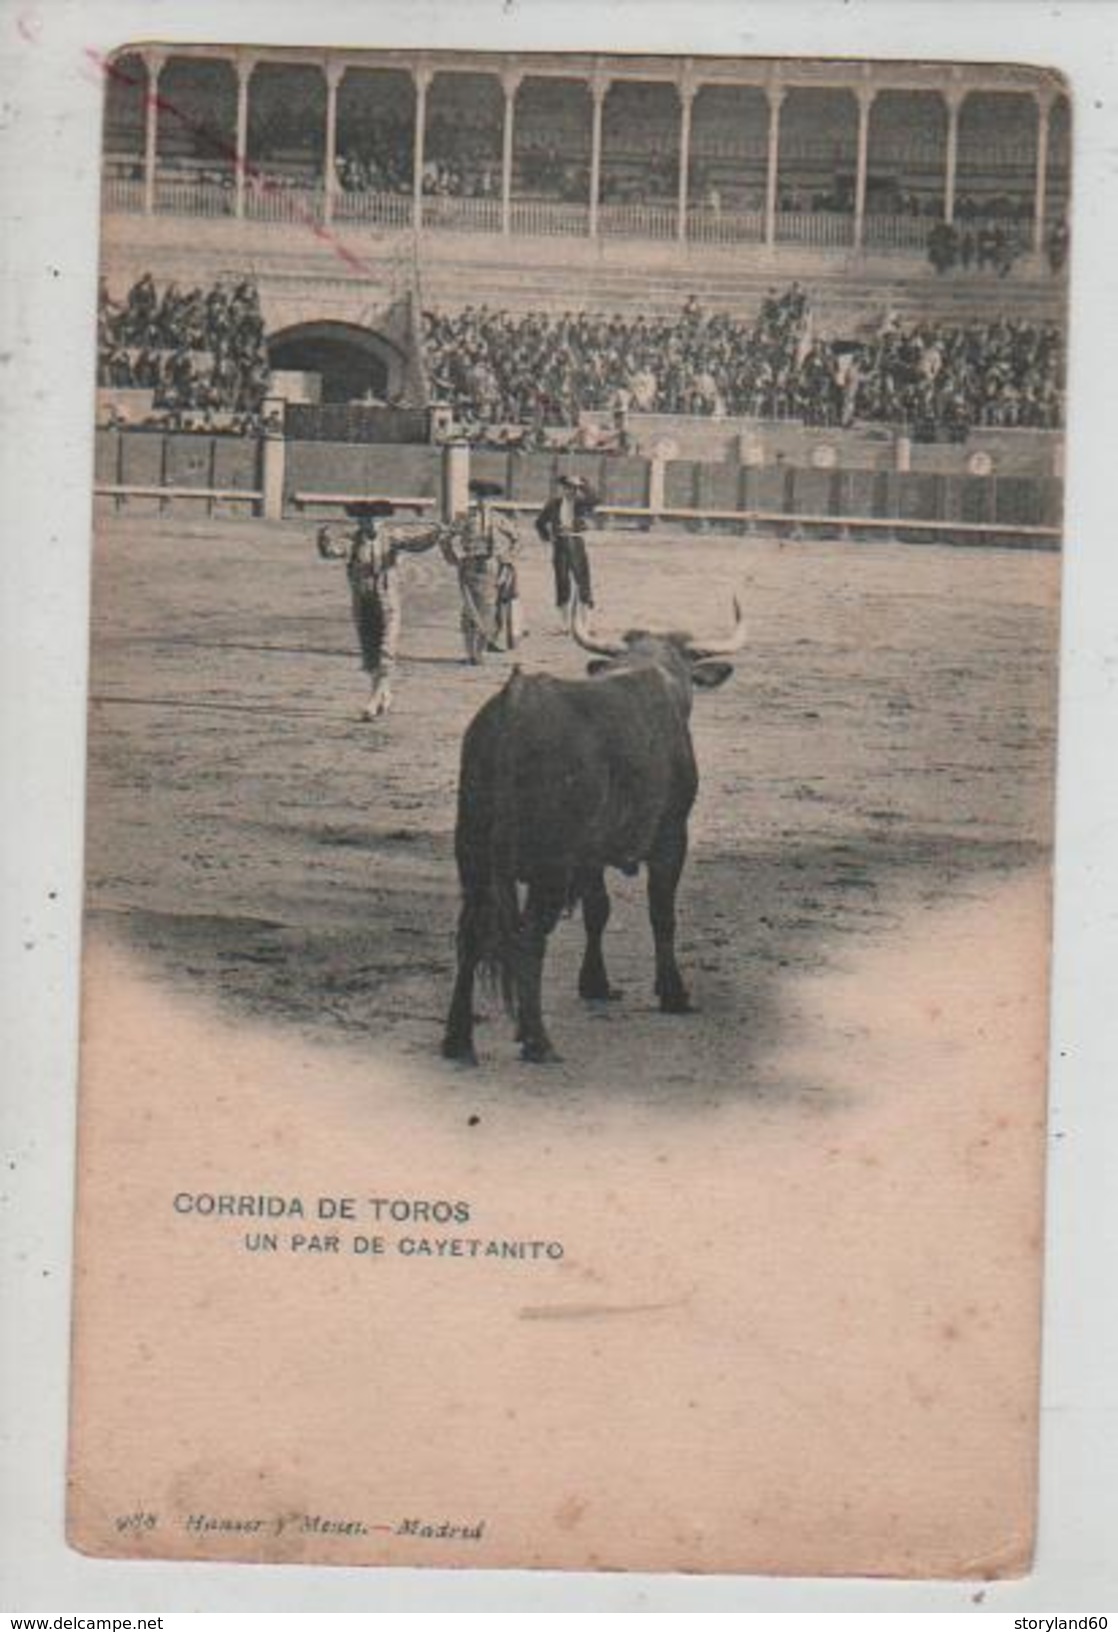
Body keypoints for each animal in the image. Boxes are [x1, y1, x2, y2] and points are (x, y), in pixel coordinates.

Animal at [440, 607, 744, 1064]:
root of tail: (514, 704)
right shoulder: (671, 837)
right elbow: (662, 914)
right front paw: (673, 993)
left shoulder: (589, 856)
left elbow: (598, 910)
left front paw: (595, 983)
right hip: (548, 868)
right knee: (529, 939)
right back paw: (538, 1041)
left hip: (473, 855)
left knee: (472, 935)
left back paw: (458, 1040)